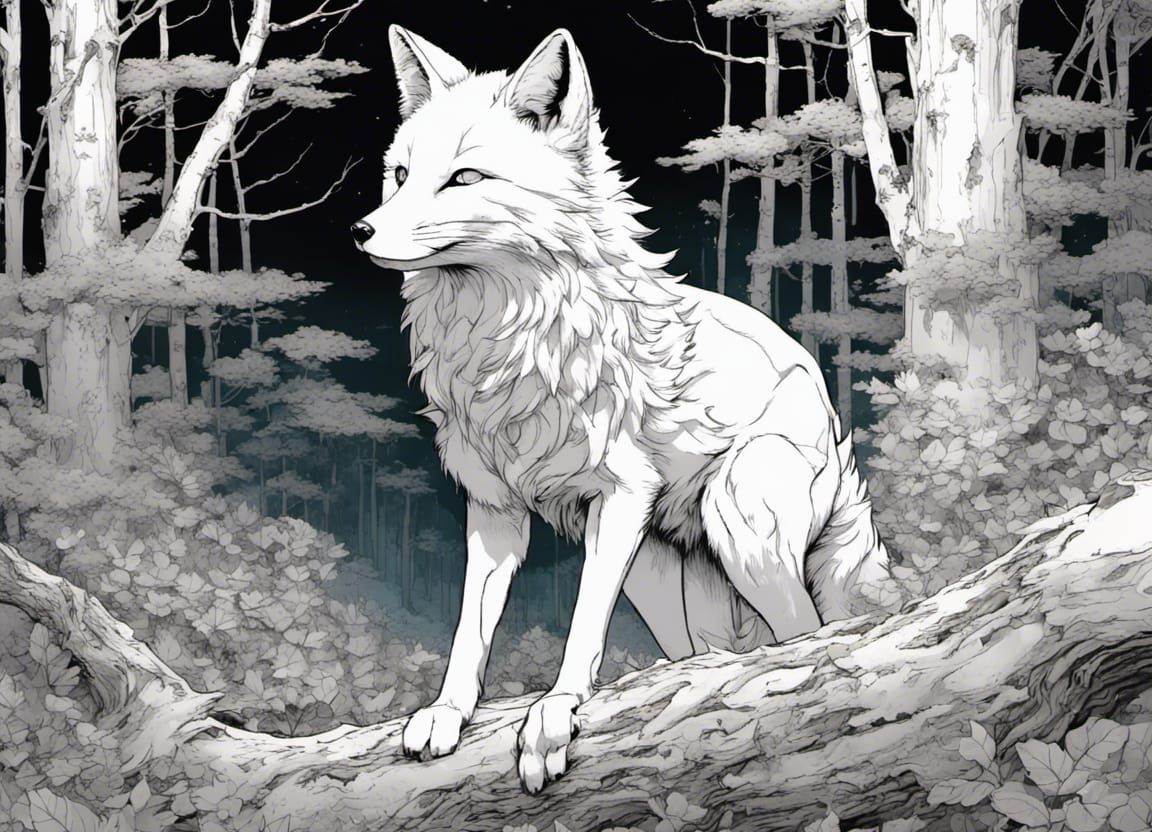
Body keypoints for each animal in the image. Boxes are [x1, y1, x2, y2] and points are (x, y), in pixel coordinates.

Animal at [351, 25, 891, 793]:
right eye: (399, 174)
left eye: (465, 179)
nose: (360, 232)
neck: (511, 343)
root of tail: (831, 417)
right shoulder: (494, 513)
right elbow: (469, 632)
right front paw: (447, 713)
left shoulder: (621, 496)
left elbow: (581, 627)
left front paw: (555, 715)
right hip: (658, 579)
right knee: (709, 653)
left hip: (737, 525)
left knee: (804, 634)